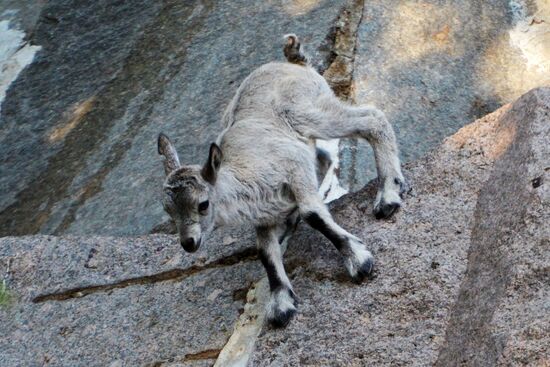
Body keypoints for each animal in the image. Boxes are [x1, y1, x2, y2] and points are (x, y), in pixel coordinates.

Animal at [157, 35, 408, 328]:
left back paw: (388, 195)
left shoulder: (294, 166)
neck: (248, 172)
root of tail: (294, 63)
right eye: (168, 210)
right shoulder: (265, 218)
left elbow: (313, 214)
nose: (189, 243)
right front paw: (281, 304)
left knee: (372, 119)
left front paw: (359, 260)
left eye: (203, 204)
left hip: (314, 113)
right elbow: (265, 252)